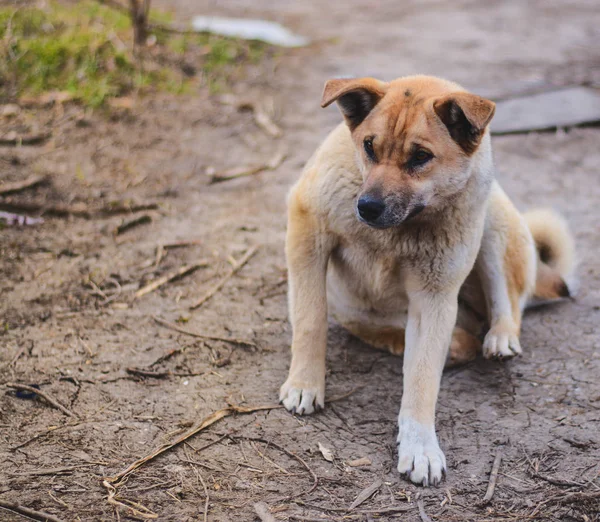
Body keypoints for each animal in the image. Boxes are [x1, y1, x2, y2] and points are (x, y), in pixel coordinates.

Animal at [278, 75, 576, 486]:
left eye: (420, 157)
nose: (366, 207)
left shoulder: (433, 299)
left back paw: (499, 336)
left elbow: (421, 380)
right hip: (364, 312)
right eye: (369, 146)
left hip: (493, 221)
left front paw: (420, 448)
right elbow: (310, 319)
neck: (399, 229)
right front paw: (305, 384)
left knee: (509, 302)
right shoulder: (308, 231)